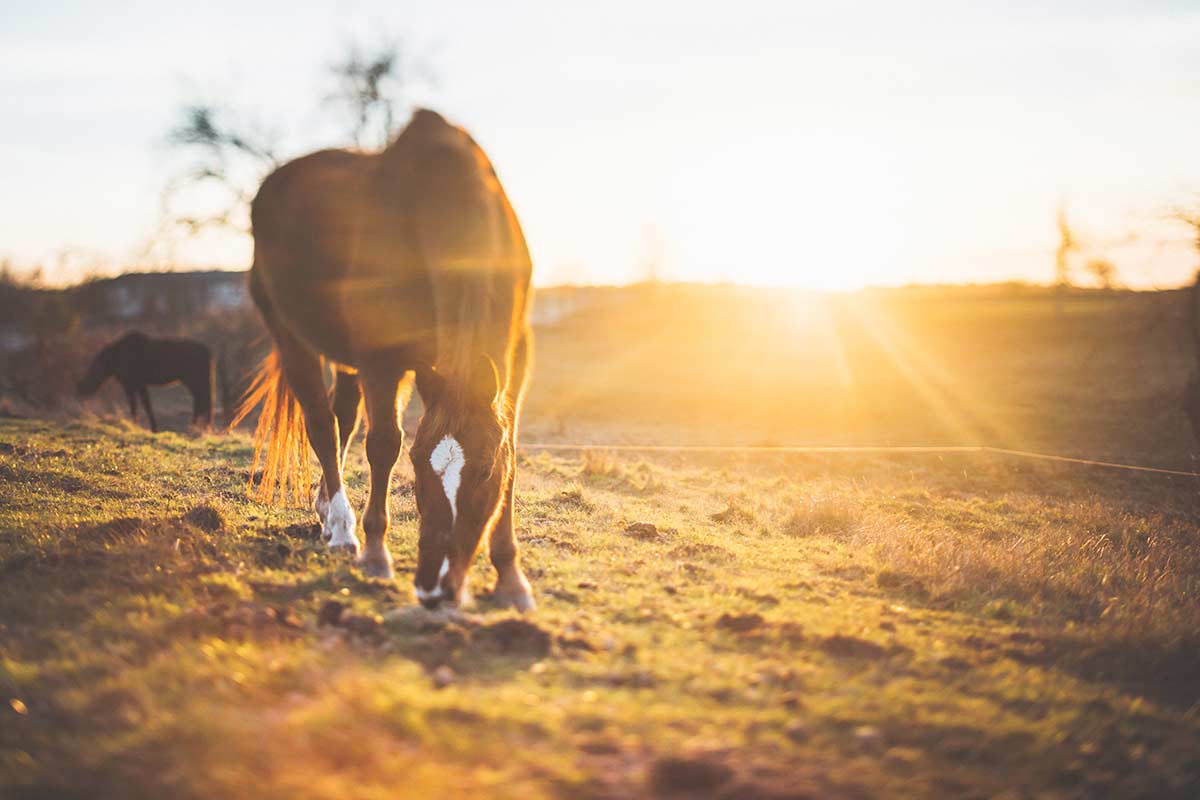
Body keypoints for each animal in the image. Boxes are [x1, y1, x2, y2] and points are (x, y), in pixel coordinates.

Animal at [77, 331, 214, 434]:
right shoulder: (139, 384)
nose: (80, 389)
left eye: (94, 370)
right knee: (201, 400)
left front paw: (140, 427)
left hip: (195, 379)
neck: (114, 358)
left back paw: (200, 427)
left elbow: (138, 406)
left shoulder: (131, 383)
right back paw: (198, 426)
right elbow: (143, 406)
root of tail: (208, 351)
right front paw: (149, 428)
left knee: (204, 400)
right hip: (194, 380)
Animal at [234, 109, 535, 609]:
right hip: (291, 336)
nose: (434, 590)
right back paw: (342, 529)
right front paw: (376, 553)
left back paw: (326, 510)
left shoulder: (516, 357)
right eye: (418, 467)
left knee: (342, 417)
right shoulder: (380, 360)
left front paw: (511, 577)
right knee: (323, 425)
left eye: (483, 472)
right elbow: (383, 445)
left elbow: (509, 448)